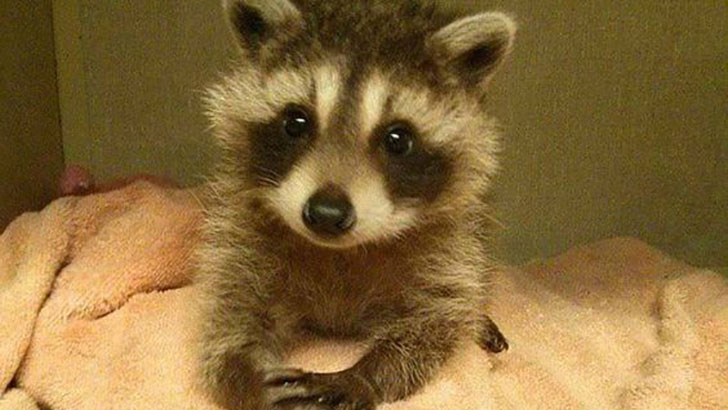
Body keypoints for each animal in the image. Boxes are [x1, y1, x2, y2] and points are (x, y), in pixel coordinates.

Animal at [195, 0, 516, 409]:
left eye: (398, 139)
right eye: (296, 121)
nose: (326, 215)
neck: (342, 250)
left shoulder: (451, 246)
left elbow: (433, 321)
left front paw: (365, 375)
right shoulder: (241, 230)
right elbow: (230, 308)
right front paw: (243, 372)